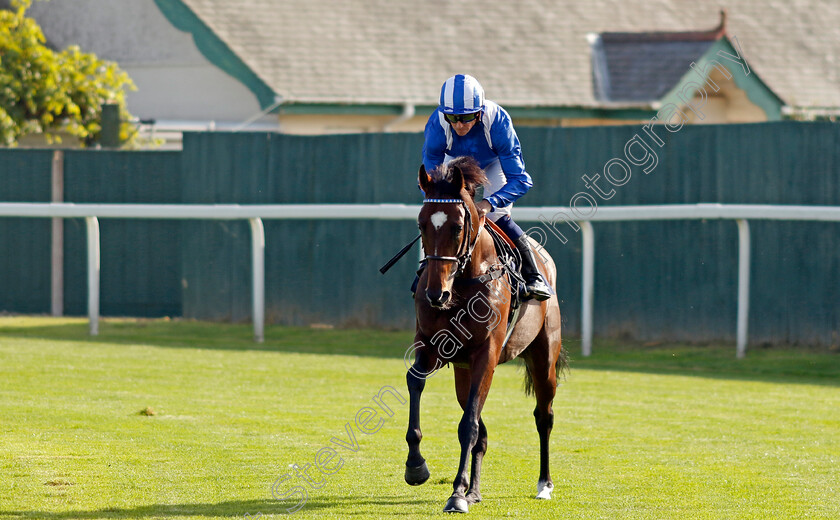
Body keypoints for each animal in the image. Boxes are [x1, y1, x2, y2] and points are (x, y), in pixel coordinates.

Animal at [406, 156, 568, 512]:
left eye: (457, 226)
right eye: (421, 225)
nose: (436, 294)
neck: (462, 284)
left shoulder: (487, 355)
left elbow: (468, 425)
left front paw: (456, 494)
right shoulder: (434, 347)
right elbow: (416, 382)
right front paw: (416, 466)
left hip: (543, 355)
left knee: (544, 415)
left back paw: (544, 484)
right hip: (462, 371)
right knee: (481, 428)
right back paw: (475, 490)